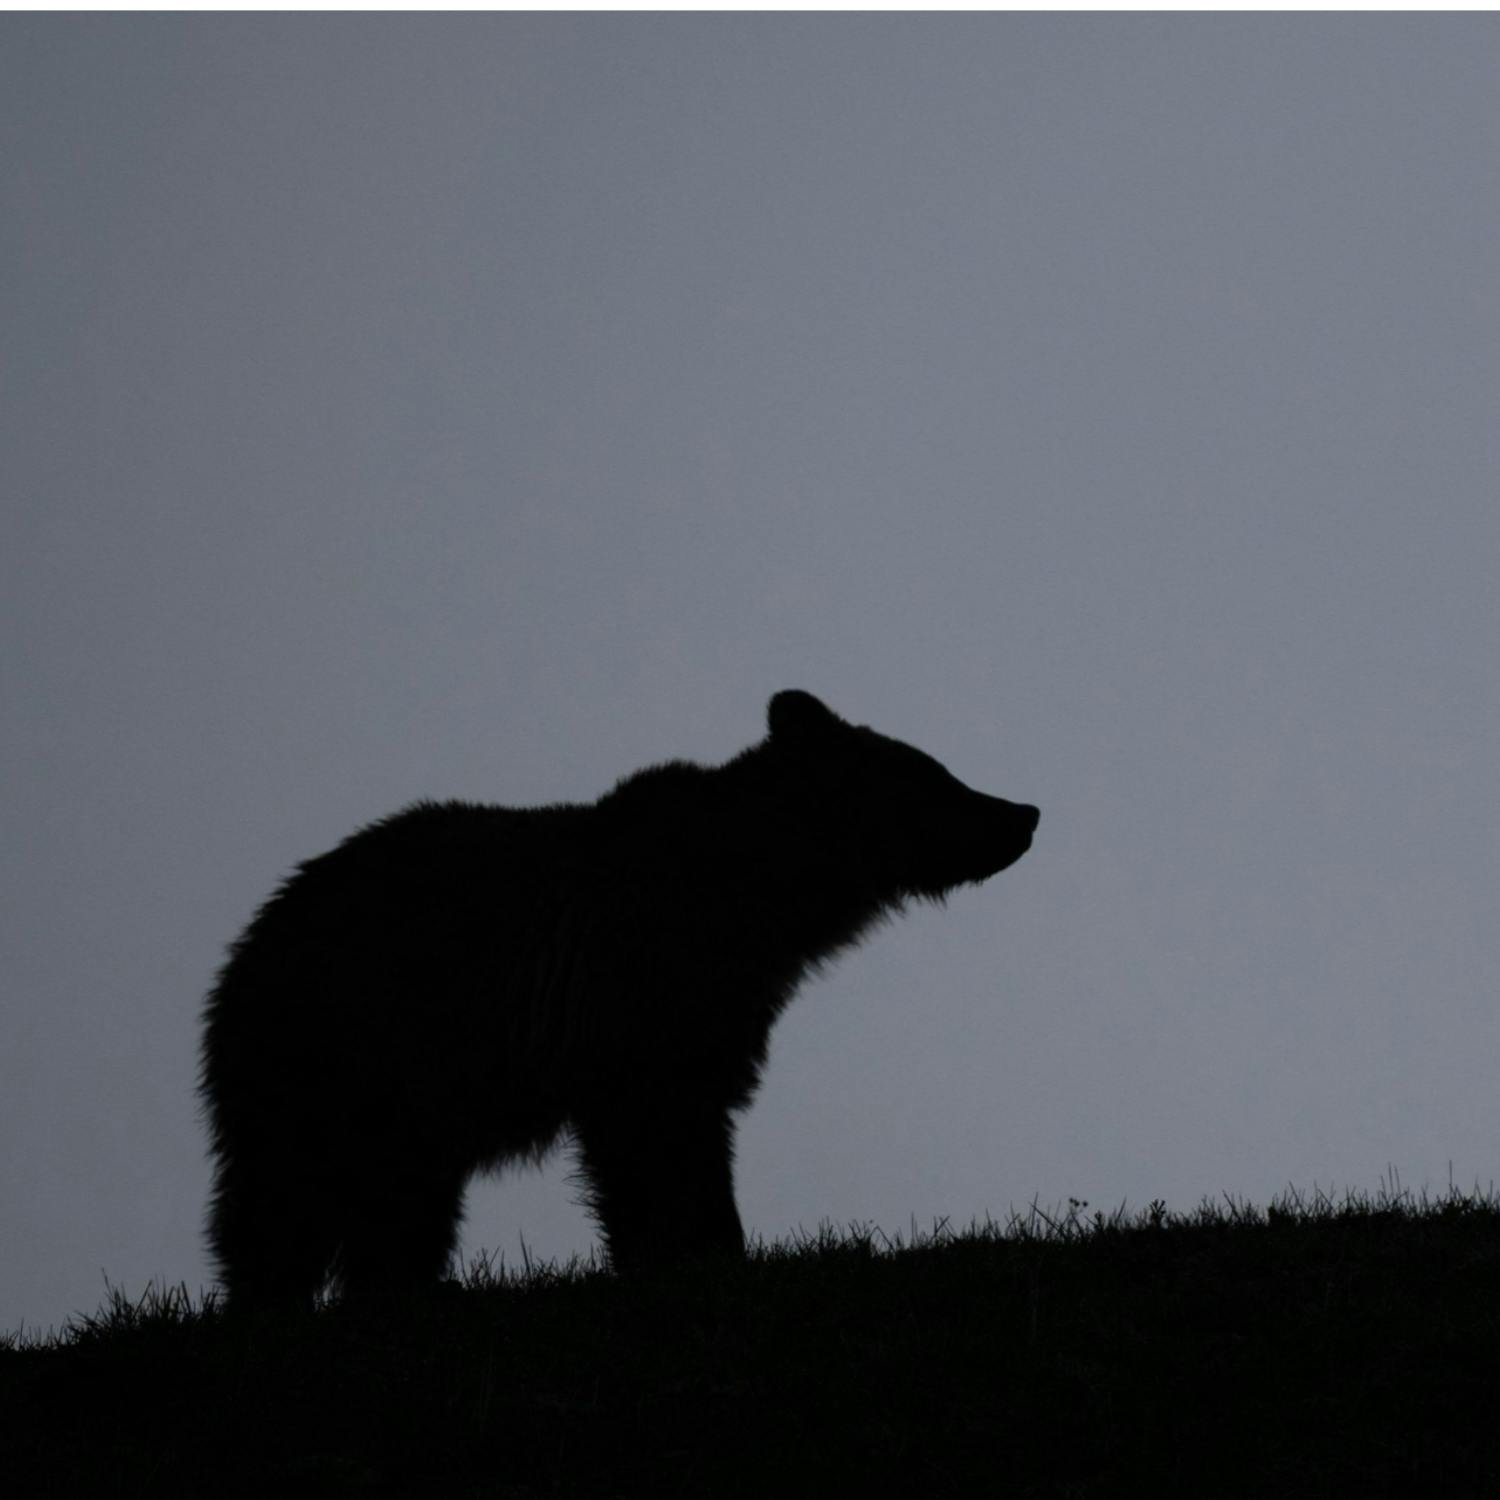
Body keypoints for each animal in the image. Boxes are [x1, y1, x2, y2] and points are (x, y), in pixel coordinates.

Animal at [198, 690, 1038, 1308]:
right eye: (936, 775)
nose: (1024, 813)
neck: (763, 898)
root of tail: (255, 933)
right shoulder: (632, 995)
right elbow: (651, 1139)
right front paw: (681, 1254)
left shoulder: (718, 1013)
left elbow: (699, 1124)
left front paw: (709, 1247)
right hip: (333, 1046)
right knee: (281, 1189)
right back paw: (268, 1299)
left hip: (409, 1099)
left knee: (403, 1203)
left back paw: (404, 1291)